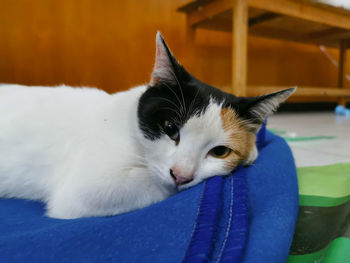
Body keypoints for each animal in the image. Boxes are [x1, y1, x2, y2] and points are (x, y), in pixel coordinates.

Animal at [0, 32, 296, 220]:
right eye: (170, 128)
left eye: (220, 152)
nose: (181, 176)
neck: (128, 125)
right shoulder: (84, 188)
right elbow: (150, 184)